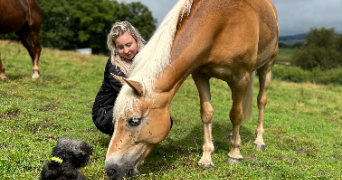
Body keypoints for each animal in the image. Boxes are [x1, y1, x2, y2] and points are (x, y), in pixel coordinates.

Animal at [105, 0, 278, 178]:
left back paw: (259, 141)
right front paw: (206, 158)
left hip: (267, 67)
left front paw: (234, 154)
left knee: (261, 101)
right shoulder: (200, 75)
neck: (221, 22)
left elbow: (236, 115)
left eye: (134, 120)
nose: (111, 169)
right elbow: (207, 114)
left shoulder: (241, 77)